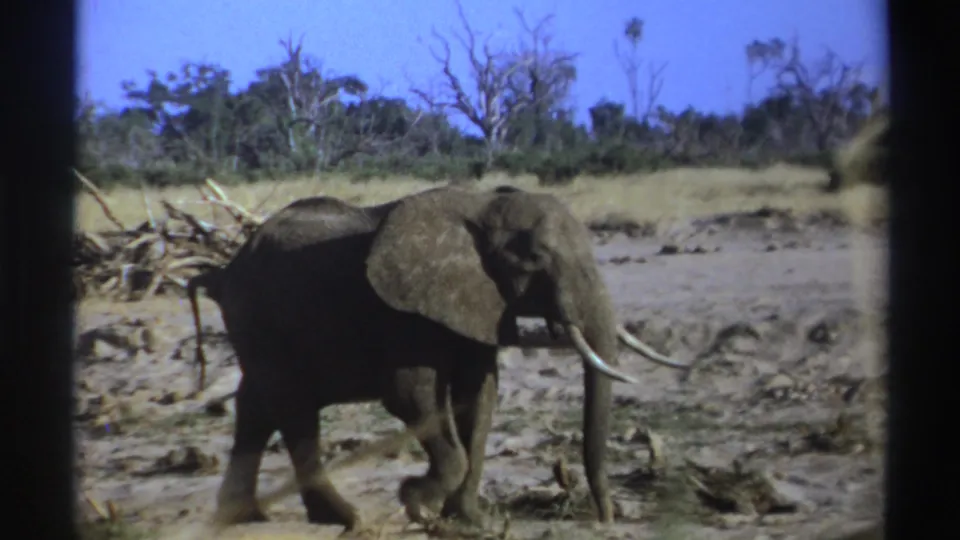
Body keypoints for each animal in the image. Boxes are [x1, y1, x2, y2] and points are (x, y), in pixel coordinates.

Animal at [186, 185, 690, 532]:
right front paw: (413, 499)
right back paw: (346, 519)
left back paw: (245, 516)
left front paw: (470, 522)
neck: (483, 206)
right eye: (533, 259)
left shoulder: (480, 304)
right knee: (293, 410)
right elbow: (412, 396)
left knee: (257, 406)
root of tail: (224, 271)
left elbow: (480, 396)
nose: (606, 519)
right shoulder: (404, 313)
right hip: (261, 318)